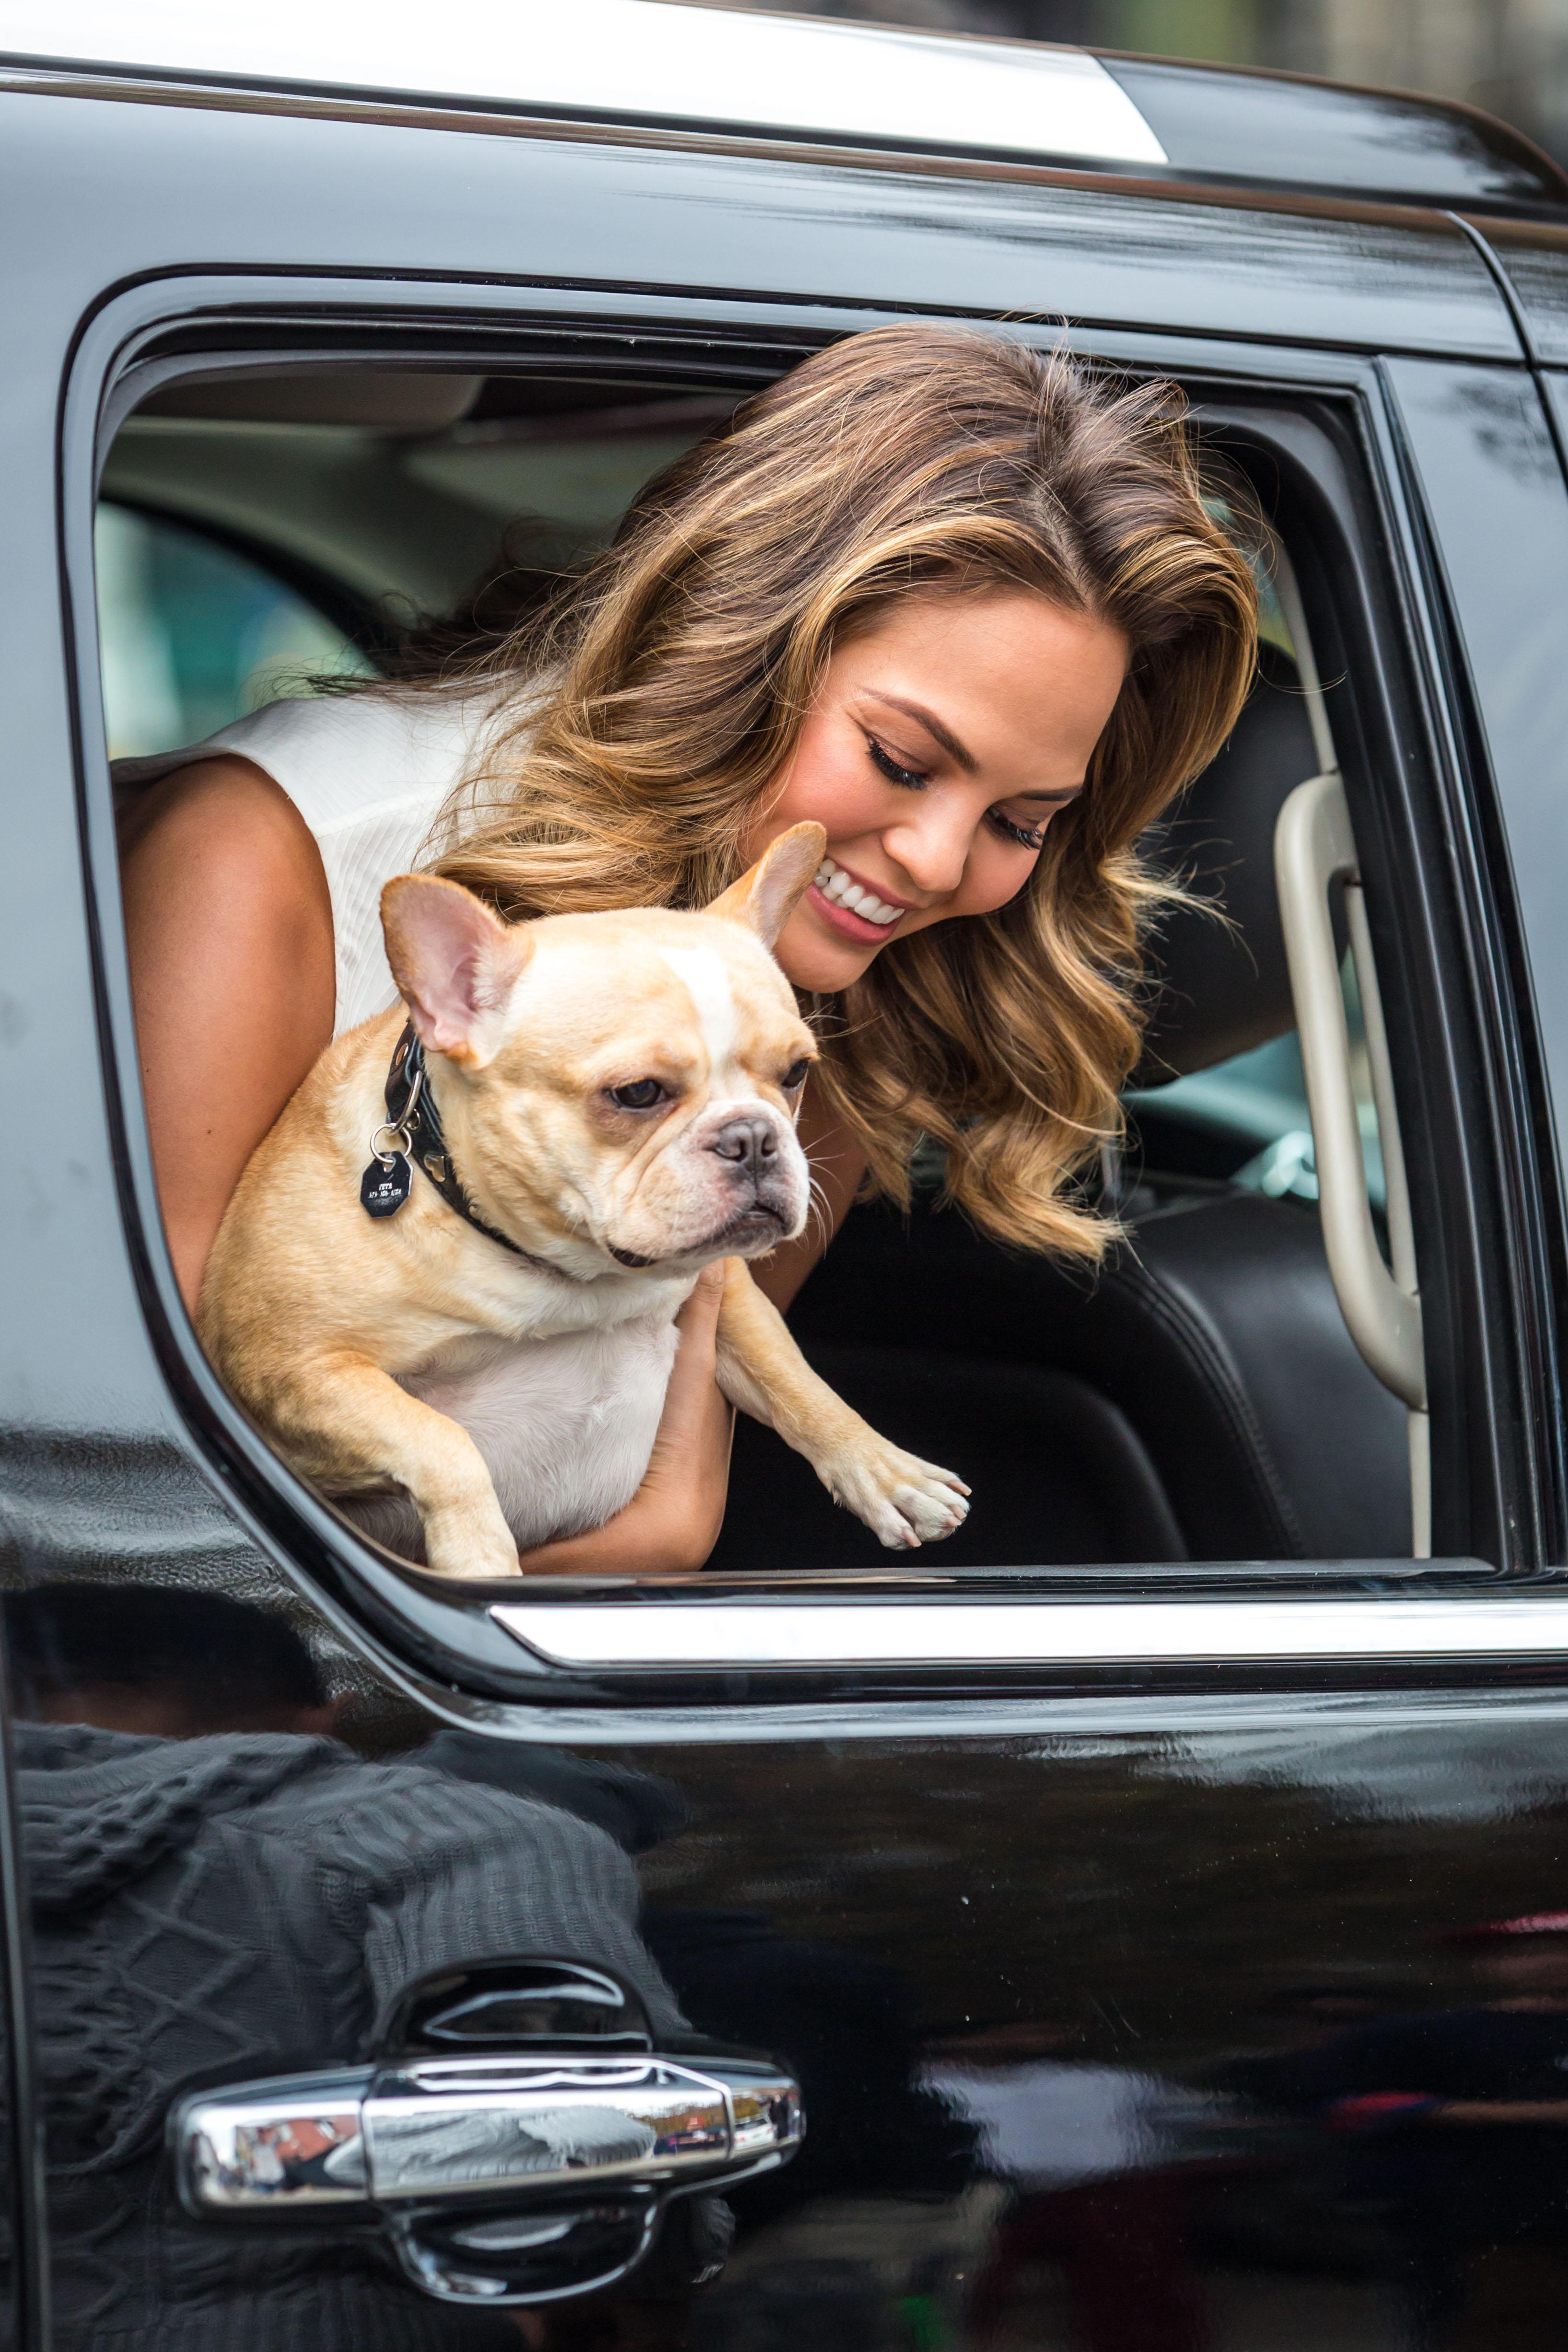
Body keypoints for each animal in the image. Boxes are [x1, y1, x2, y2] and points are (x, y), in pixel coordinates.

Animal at [199, 827, 968, 1580]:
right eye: (638, 1093)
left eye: (796, 1073)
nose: (751, 1137)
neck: (574, 1278)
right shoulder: (287, 1373)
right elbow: (436, 1438)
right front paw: (479, 1554)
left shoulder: (723, 1284)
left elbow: (790, 1373)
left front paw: (886, 1472)